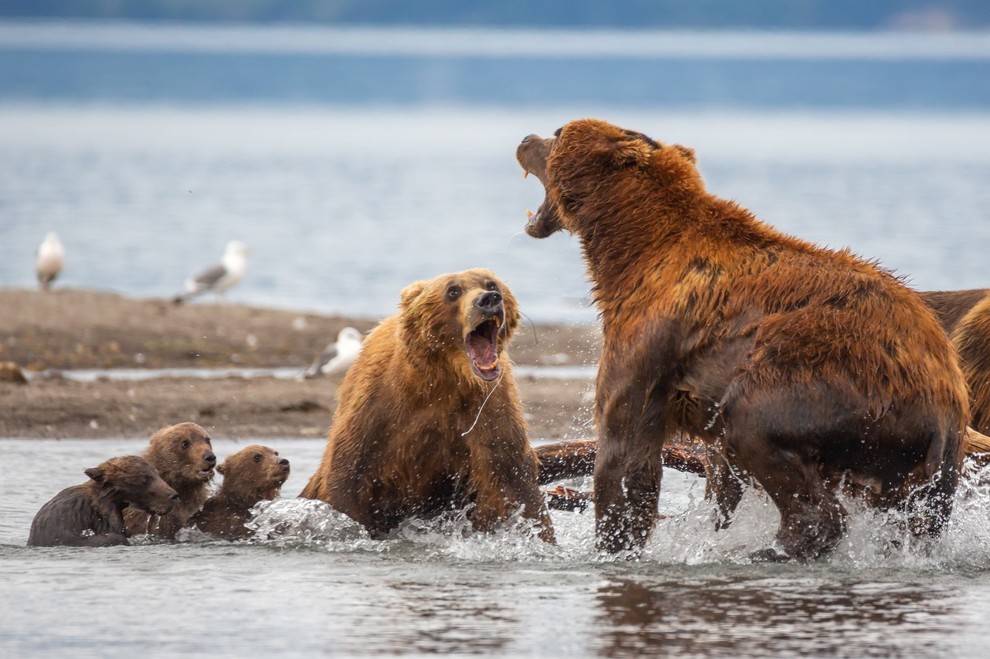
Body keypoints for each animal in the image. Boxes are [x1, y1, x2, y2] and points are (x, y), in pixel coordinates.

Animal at [298, 266, 560, 540]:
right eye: (453, 290)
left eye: (492, 285)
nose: (489, 299)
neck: (446, 377)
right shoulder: (377, 412)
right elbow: (348, 480)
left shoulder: (489, 410)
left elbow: (513, 484)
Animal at [520, 120, 968, 564]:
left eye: (557, 133)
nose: (525, 139)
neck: (629, 251)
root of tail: (948, 399)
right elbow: (720, 475)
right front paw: (713, 523)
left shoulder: (649, 337)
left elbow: (625, 448)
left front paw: (610, 546)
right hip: (912, 460)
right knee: (911, 516)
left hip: (831, 378)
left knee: (754, 423)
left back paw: (767, 549)